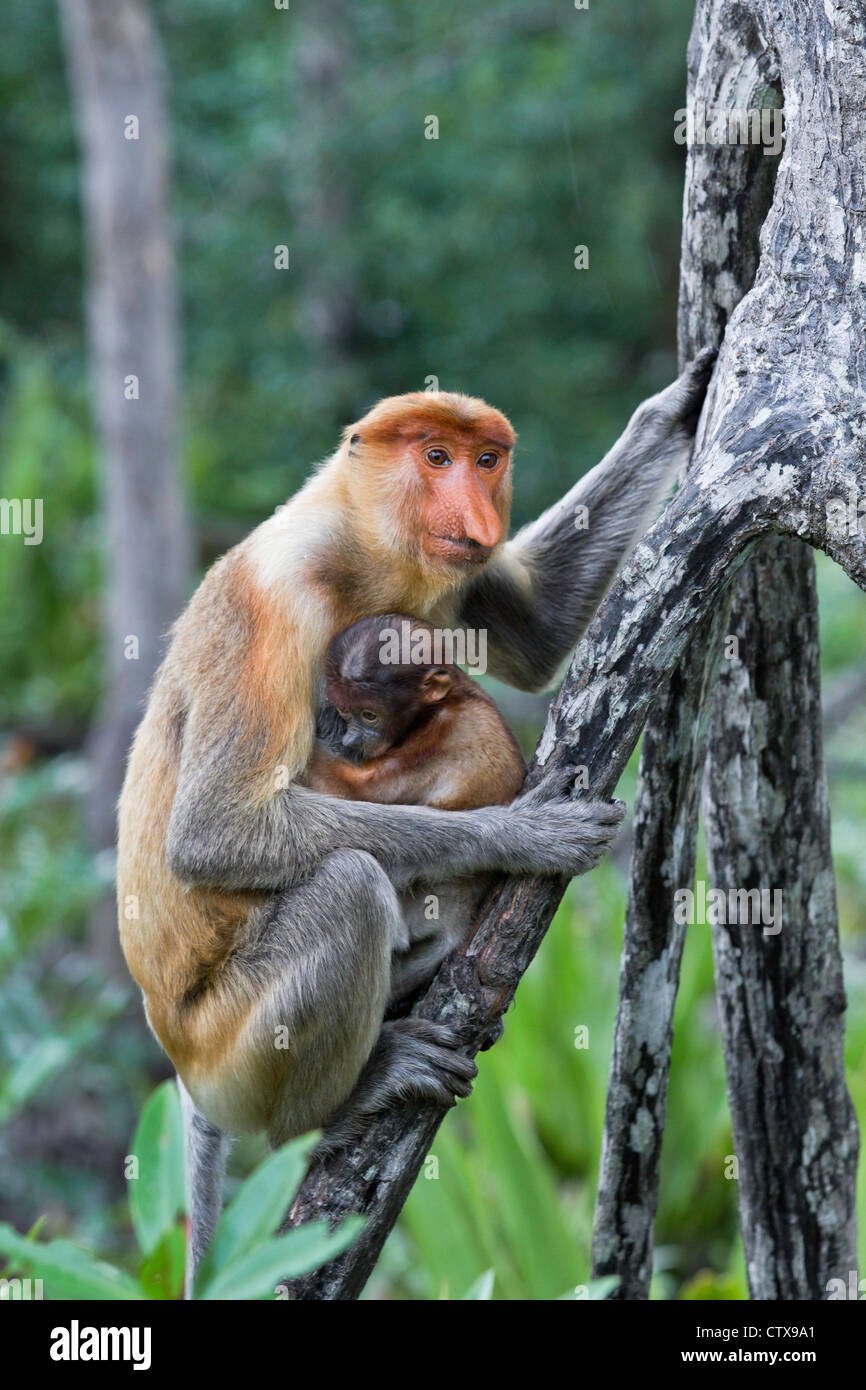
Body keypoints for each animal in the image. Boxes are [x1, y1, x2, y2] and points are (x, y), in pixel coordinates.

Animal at [301, 614, 525, 1006]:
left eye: (370, 715)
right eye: (346, 711)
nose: (350, 739)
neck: (443, 704)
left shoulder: (439, 740)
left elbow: (352, 791)